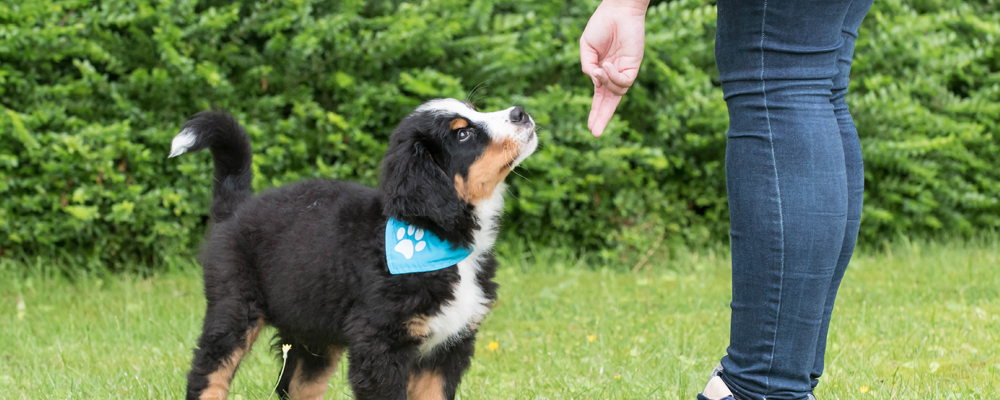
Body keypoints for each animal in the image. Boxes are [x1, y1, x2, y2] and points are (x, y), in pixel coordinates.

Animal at [168, 99, 536, 400]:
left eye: (475, 109)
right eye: (462, 134)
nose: (521, 112)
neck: (436, 233)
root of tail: (237, 207)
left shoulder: (448, 347)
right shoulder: (380, 345)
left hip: (313, 330)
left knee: (297, 386)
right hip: (234, 308)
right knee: (207, 373)